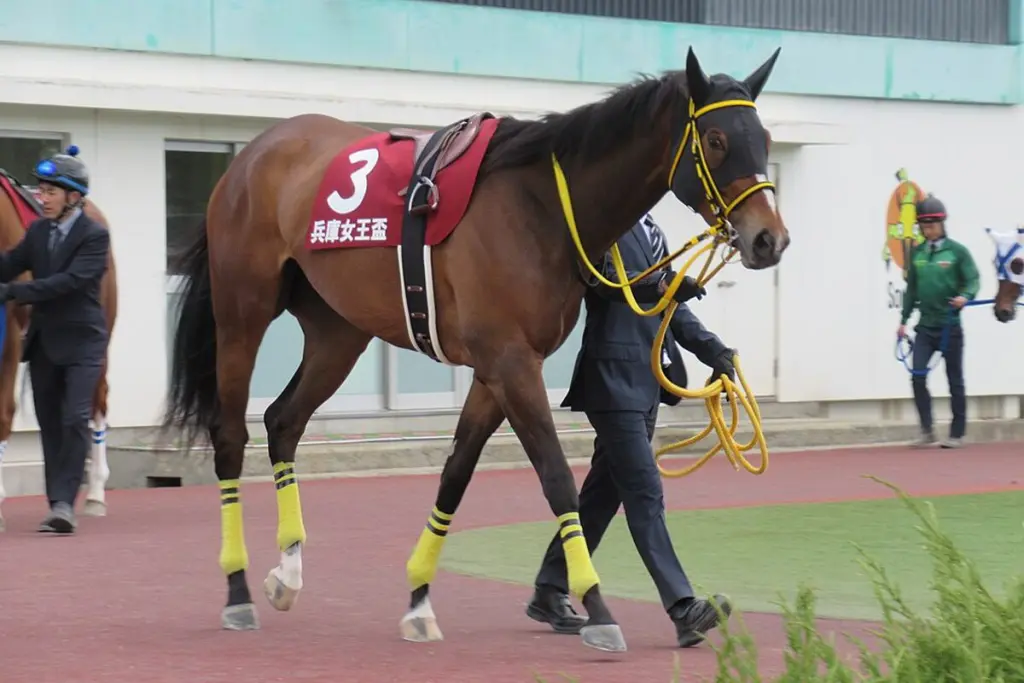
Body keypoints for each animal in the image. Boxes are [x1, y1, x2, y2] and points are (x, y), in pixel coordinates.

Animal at [161, 46, 789, 652]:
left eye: (764, 140)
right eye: (717, 139)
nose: (770, 239)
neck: (542, 206)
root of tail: (251, 154)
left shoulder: (494, 372)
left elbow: (456, 475)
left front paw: (419, 600)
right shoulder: (512, 364)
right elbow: (557, 477)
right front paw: (598, 607)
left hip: (338, 331)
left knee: (283, 419)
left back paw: (287, 572)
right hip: (241, 314)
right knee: (231, 436)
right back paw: (237, 591)